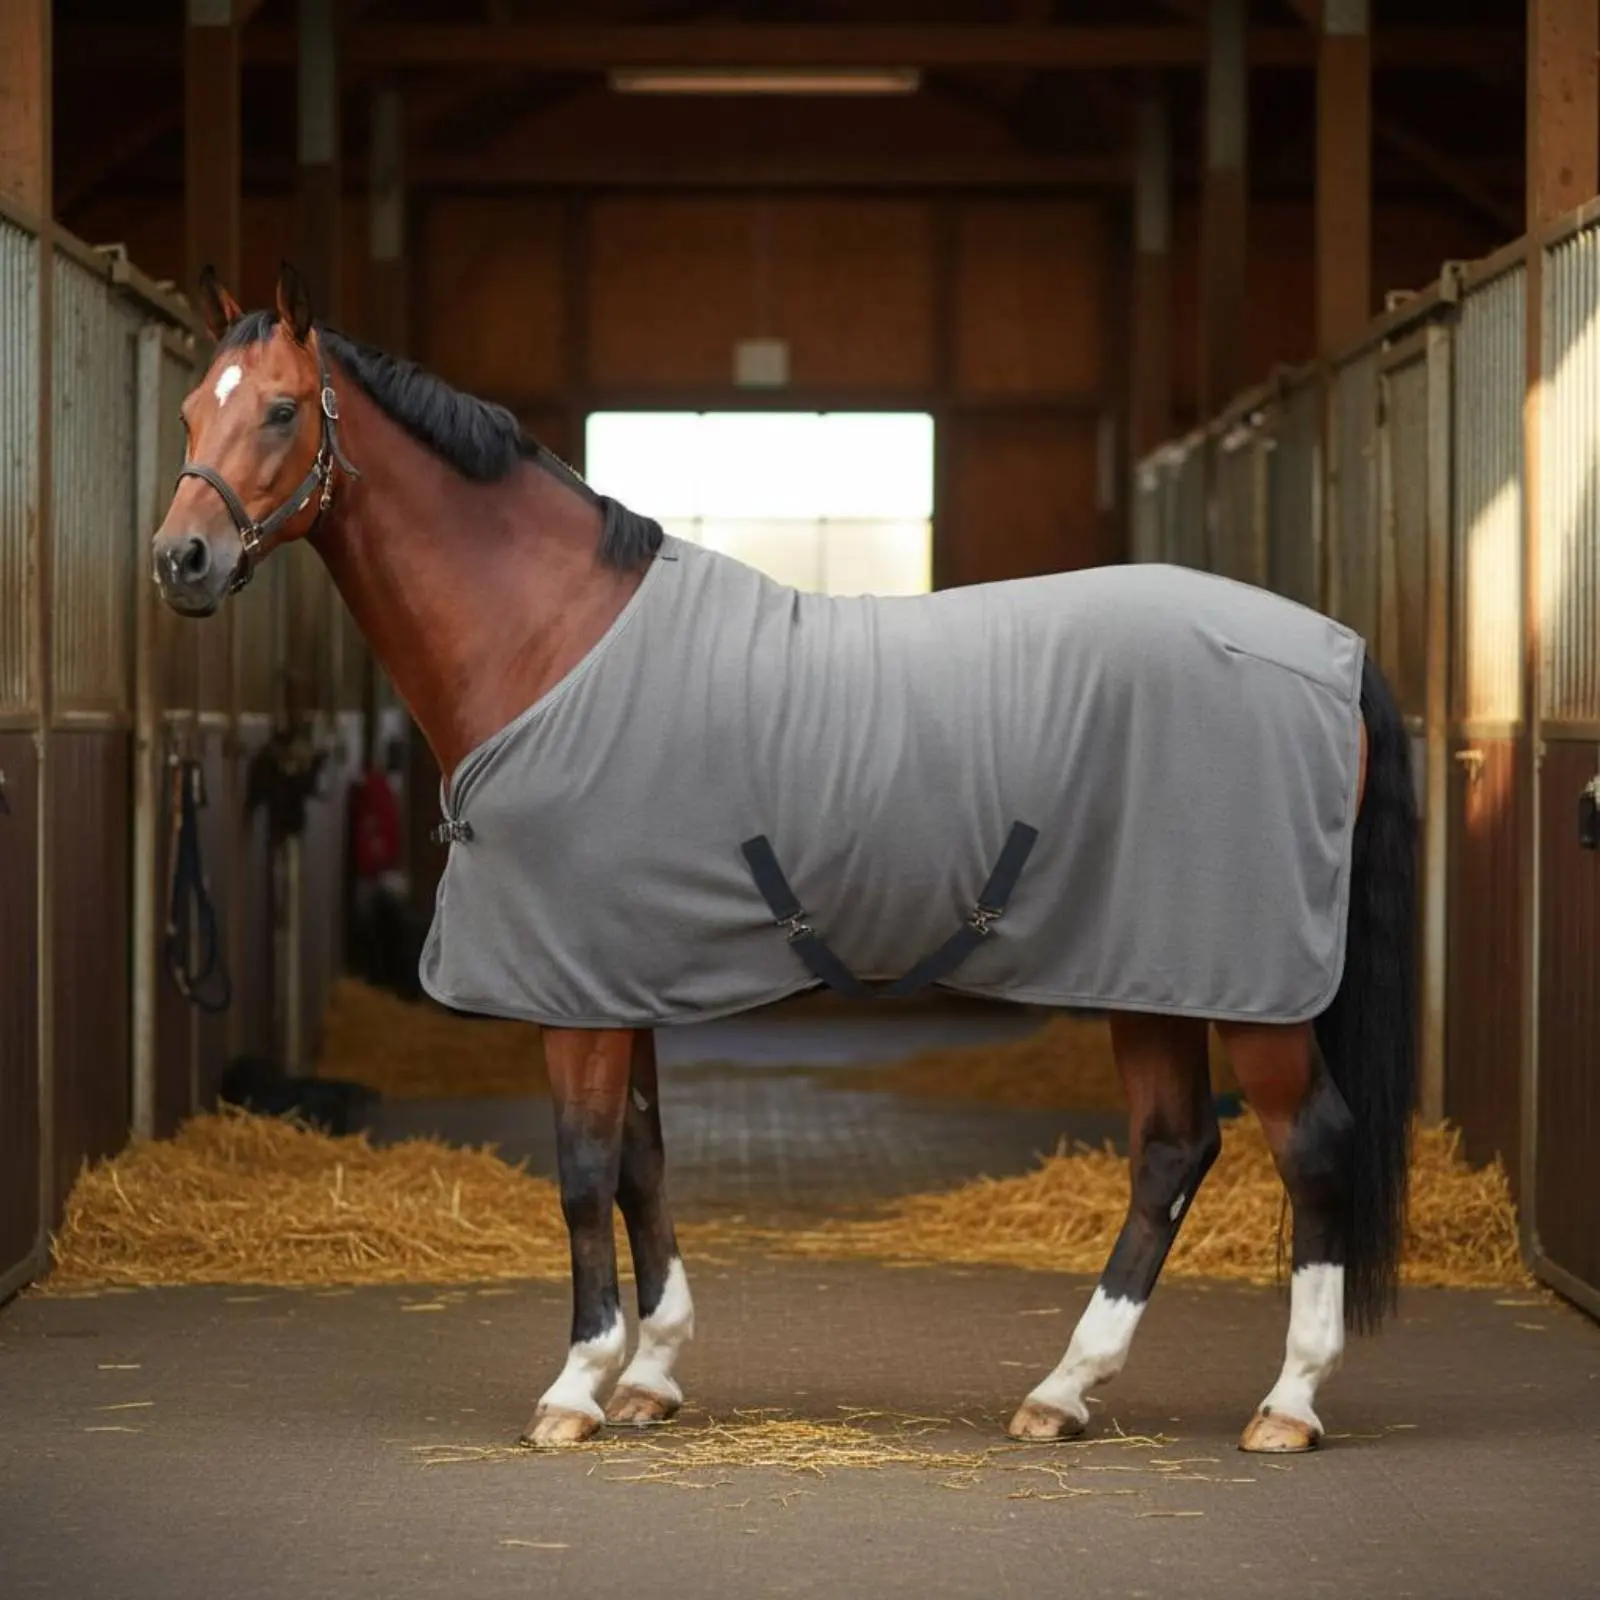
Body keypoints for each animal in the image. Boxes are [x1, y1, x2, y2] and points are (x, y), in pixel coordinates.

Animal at [150, 261, 1416, 1456]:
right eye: (188, 411)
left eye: (278, 410)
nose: (182, 560)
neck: (554, 641)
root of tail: (1333, 652)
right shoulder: (616, 976)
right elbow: (642, 1160)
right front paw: (651, 1374)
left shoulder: (577, 991)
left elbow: (582, 1167)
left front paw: (575, 1387)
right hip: (1151, 974)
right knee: (1171, 1150)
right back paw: (1062, 1391)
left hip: (1250, 992)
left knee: (1310, 1145)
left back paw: (1286, 1402)